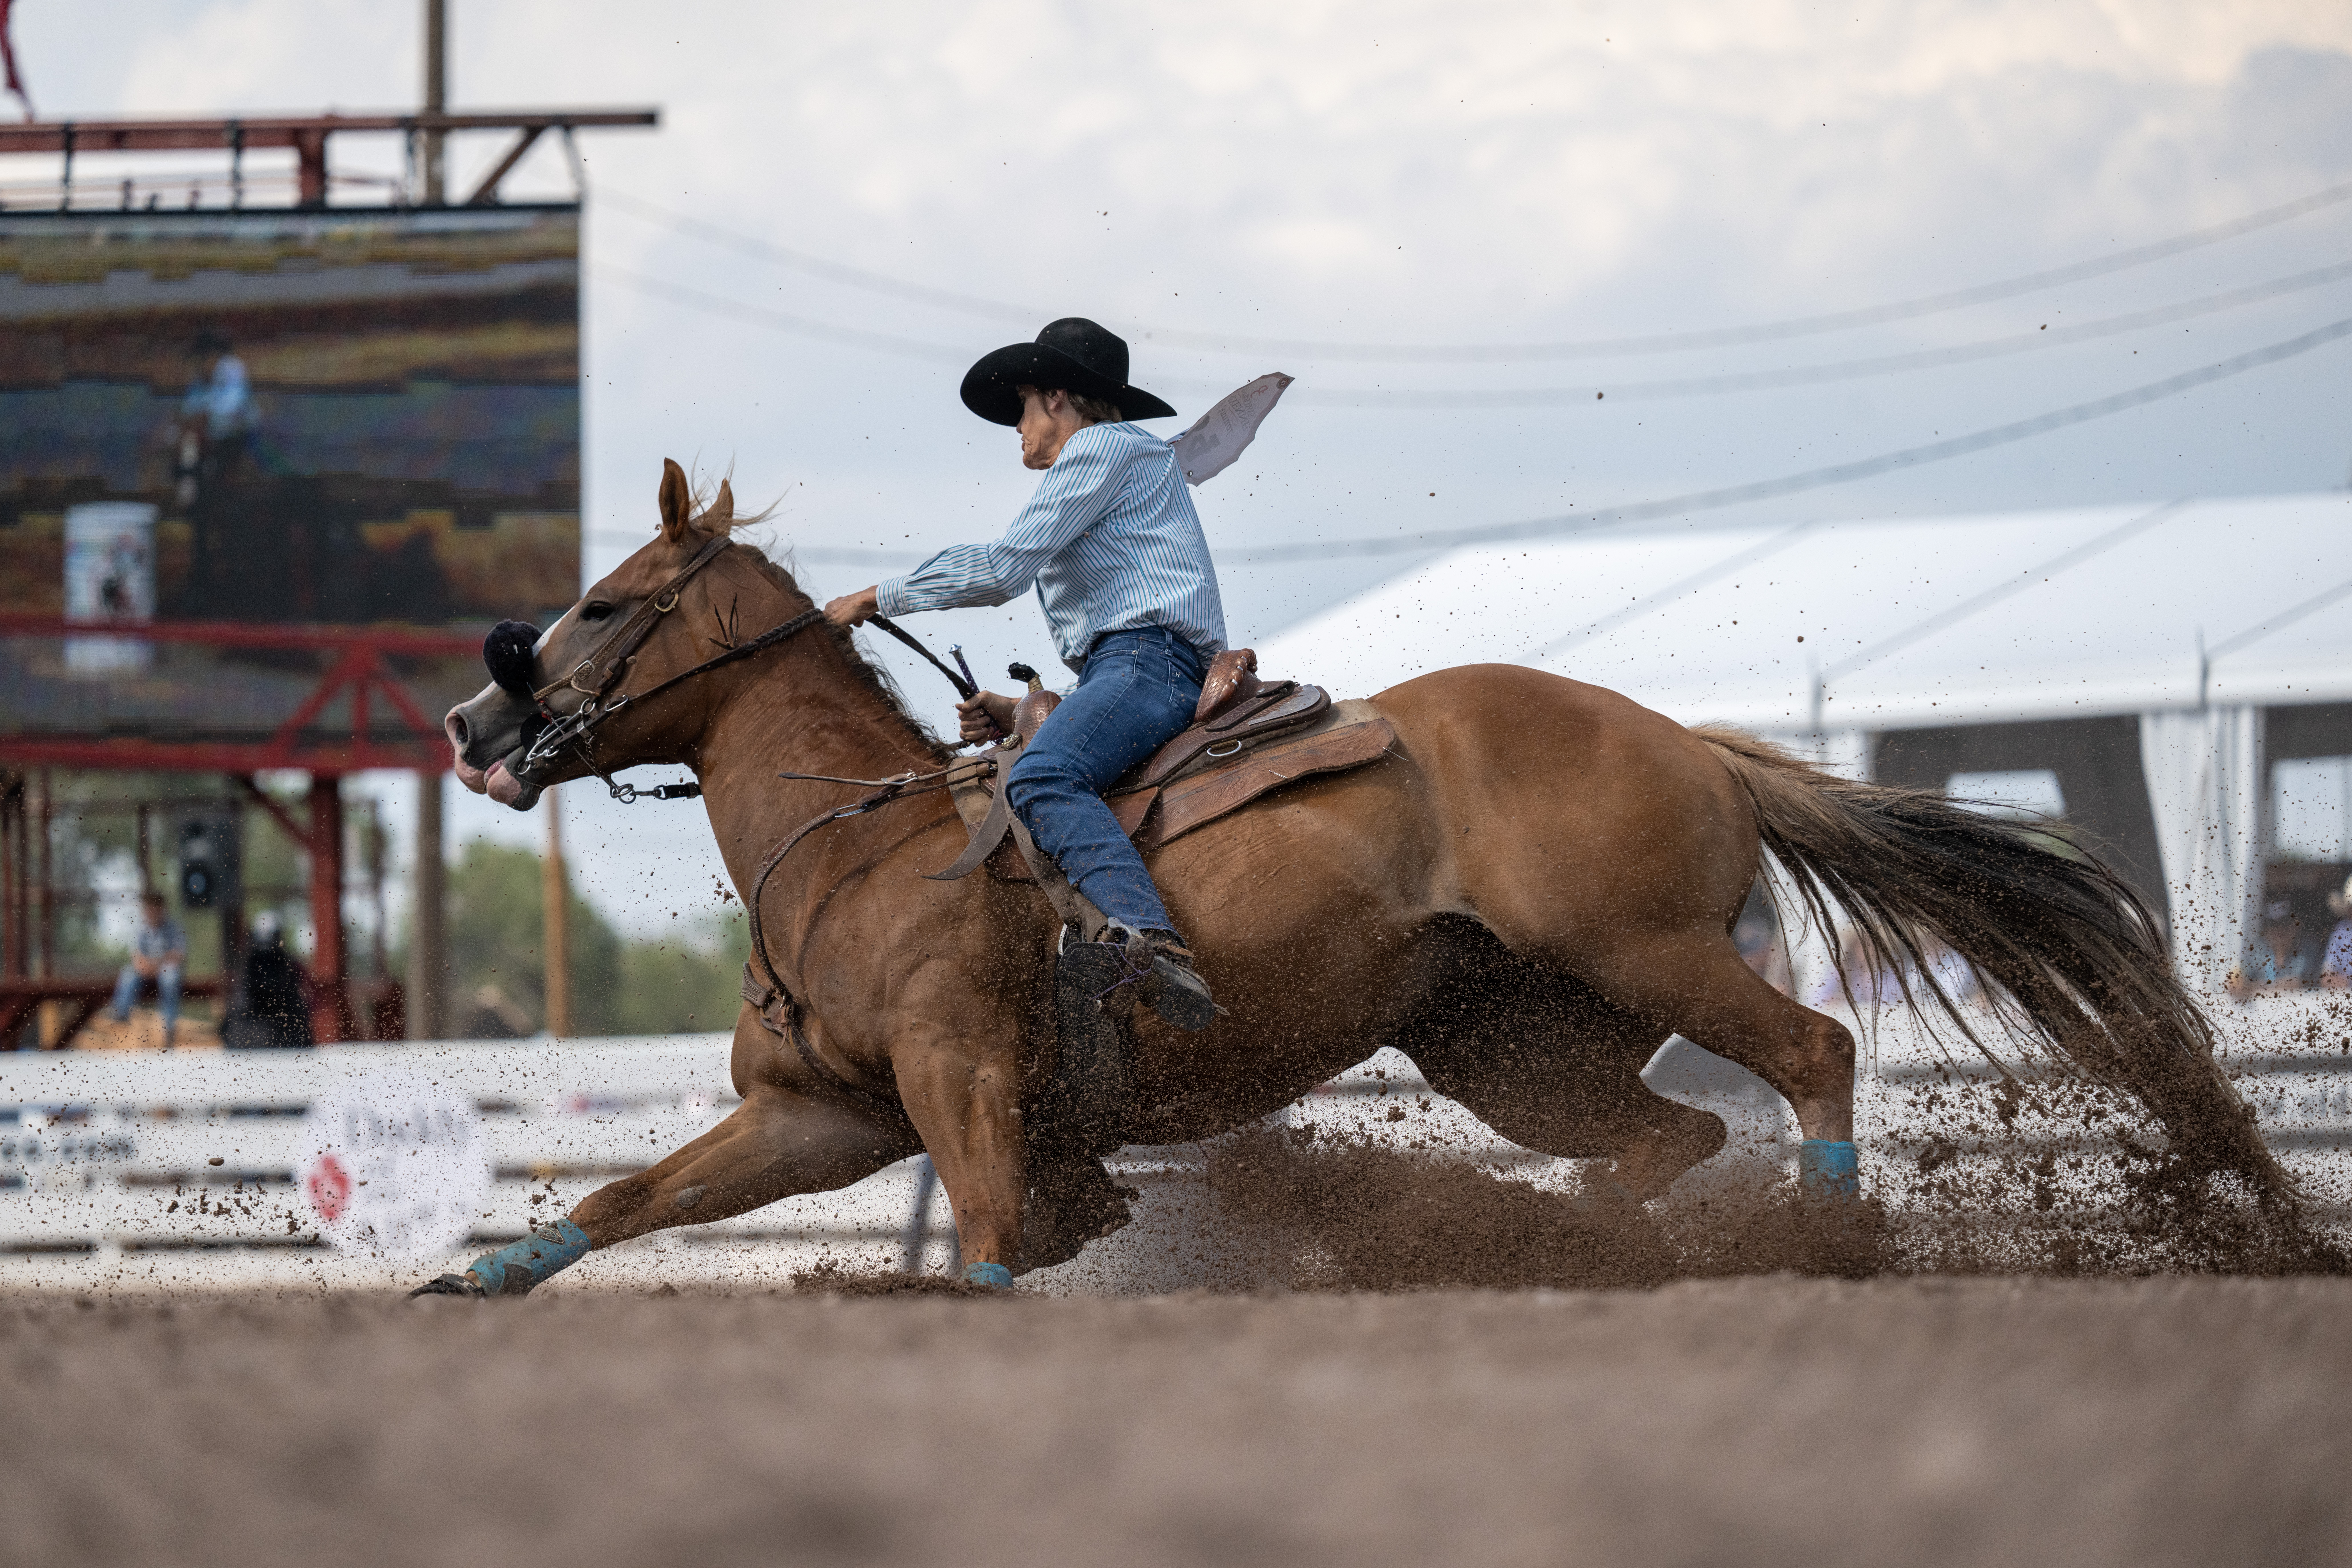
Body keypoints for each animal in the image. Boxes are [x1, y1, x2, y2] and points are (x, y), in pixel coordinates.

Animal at [436, 459, 2285, 1288]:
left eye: (606, 599)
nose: (471, 718)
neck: (857, 838)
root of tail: (1691, 739)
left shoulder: (959, 1080)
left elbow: (990, 1238)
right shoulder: (825, 1111)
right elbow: (633, 1191)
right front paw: (484, 1270)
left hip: (1652, 953)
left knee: (1811, 1049)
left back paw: (1822, 1233)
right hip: (1502, 1040)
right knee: (1661, 1135)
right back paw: (1579, 1247)